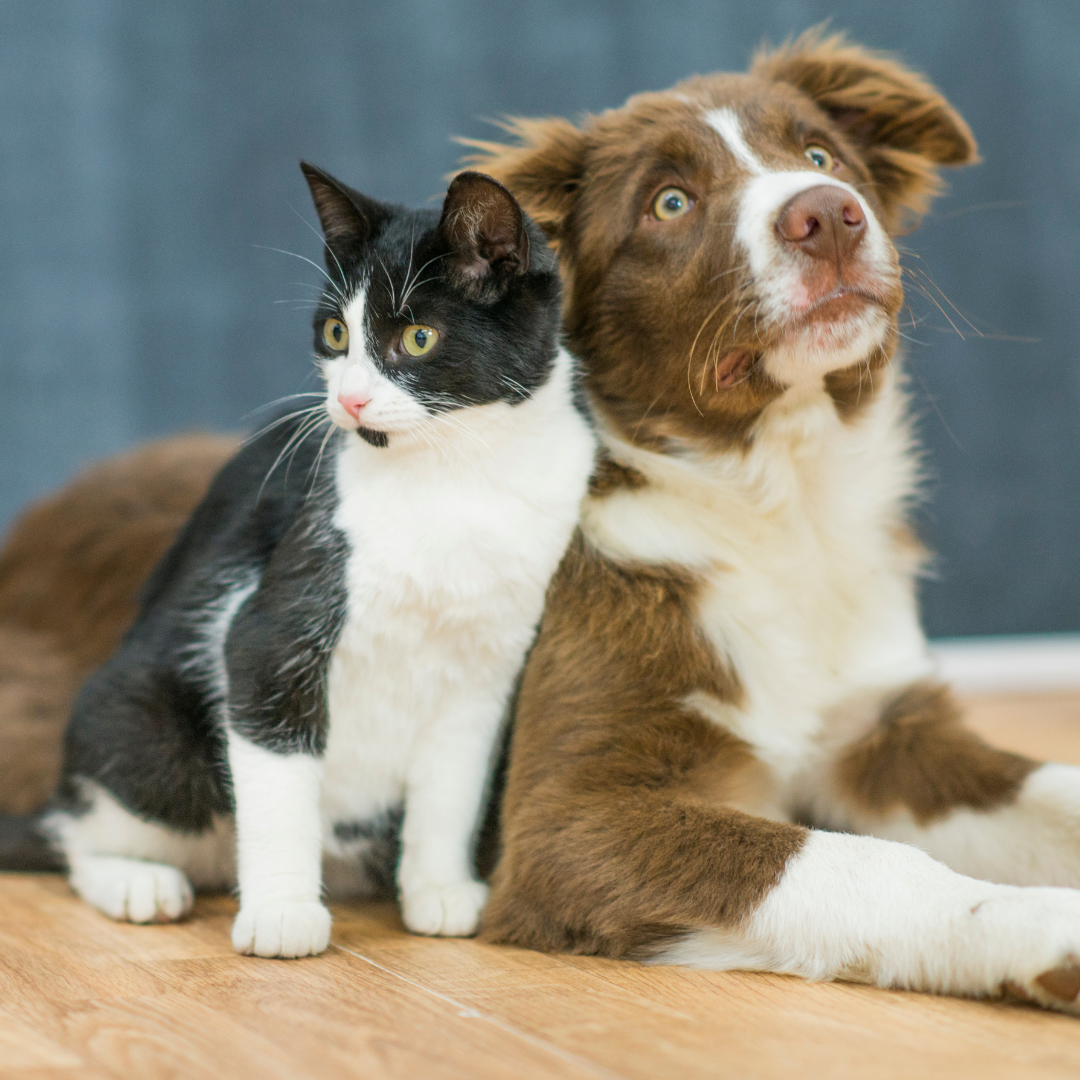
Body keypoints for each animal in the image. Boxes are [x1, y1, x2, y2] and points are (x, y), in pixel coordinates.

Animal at [2, 159, 591, 954]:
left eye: (419, 337)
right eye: (336, 332)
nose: (350, 401)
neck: (455, 476)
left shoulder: (488, 667)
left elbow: (452, 787)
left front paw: (438, 890)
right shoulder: (270, 628)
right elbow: (277, 776)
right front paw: (282, 913)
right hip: (145, 730)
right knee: (82, 831)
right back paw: (136, 881)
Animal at [470, 29, 1080, 1015]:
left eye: (822, 155)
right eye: (669, 202)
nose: (827, 215)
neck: (782, 507)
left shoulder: (884, 734)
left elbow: (1057, 787)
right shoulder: (565, 818)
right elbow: (865, 867)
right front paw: (1046, 924)